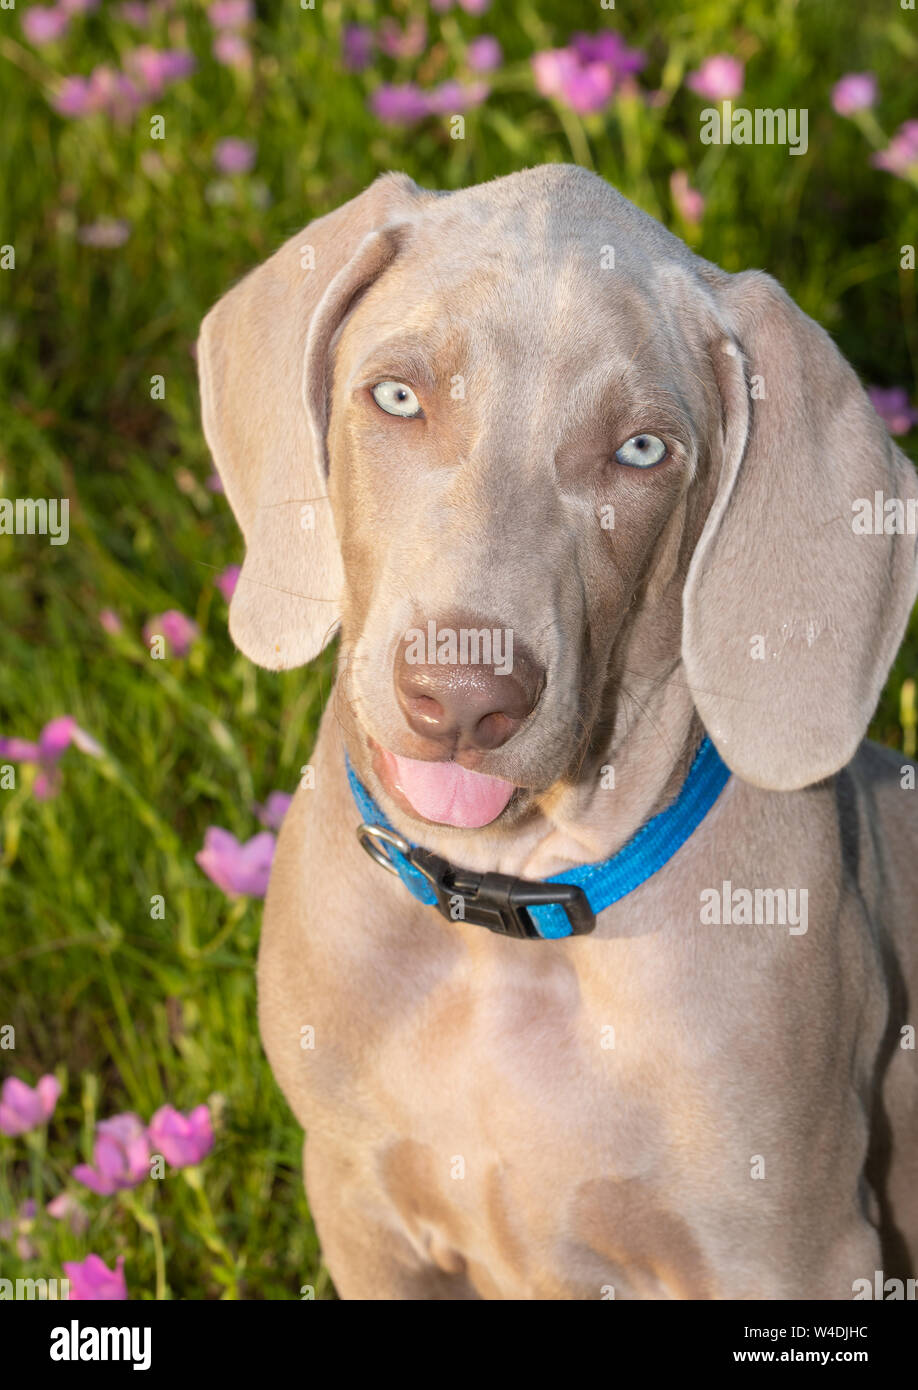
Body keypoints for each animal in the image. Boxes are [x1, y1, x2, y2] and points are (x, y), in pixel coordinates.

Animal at [198, 165, 918, 1301]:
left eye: (642, 451)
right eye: (396, 396)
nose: (461, 699)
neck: (503, 925)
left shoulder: (792, 1248)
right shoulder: (359, 1202)